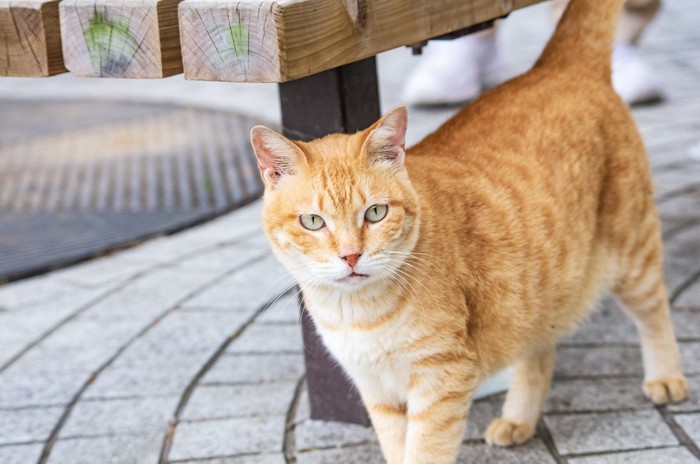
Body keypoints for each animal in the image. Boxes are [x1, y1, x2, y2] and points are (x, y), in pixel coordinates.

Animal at [249, 0, 688, 462]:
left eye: (375, 213)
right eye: (313, 221)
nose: (350, 256)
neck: (358, 313)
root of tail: (558, 65)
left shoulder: (441, 378)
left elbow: (424, 451)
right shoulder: (377, 390)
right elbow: (396, 449)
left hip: (633, 255)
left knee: (655, 313)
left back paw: (666, 378)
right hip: (535, 290)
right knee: (539, 353)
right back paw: (518, 420)